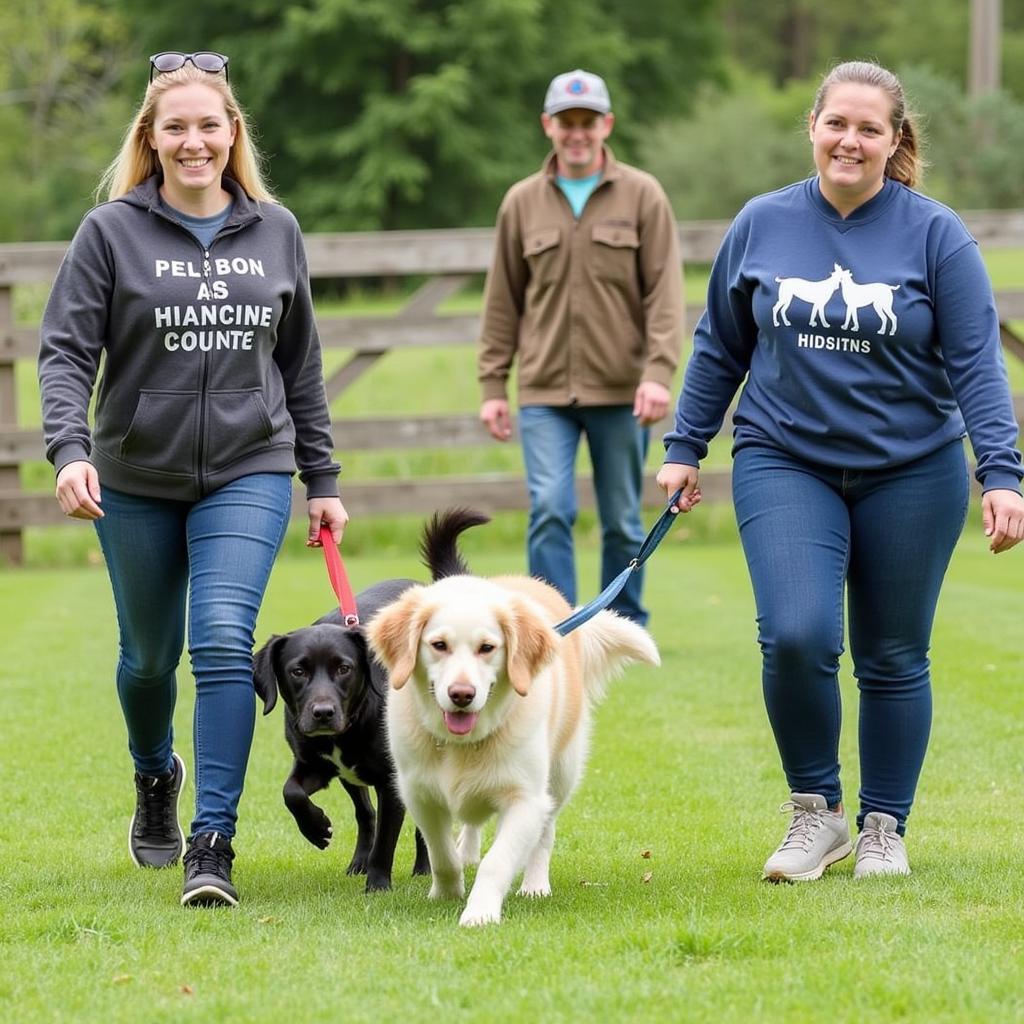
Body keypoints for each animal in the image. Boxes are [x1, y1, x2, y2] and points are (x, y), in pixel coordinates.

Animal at [258, 581, 434, 892]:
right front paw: (316, 828)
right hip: (350, 777)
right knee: (365, 814)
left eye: (344, 669)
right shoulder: (313, 766)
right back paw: (358, 863)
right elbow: (291, 793)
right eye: (298, 671)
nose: (323, 713)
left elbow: (386, 840)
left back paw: (424, 868)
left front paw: (378, 886)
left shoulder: (392, 783)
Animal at [364, 569, 659, 929]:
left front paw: (480, 912)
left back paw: (535, 885)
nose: (461, 694)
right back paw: (467, 851)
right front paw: (446, 892)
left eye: (487, 648)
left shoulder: (525, 800)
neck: (463, 742)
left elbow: (497, 861)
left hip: (560, 775)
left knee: (545, 834)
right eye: (439, 645)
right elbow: (441, 854)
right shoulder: (419, 795)